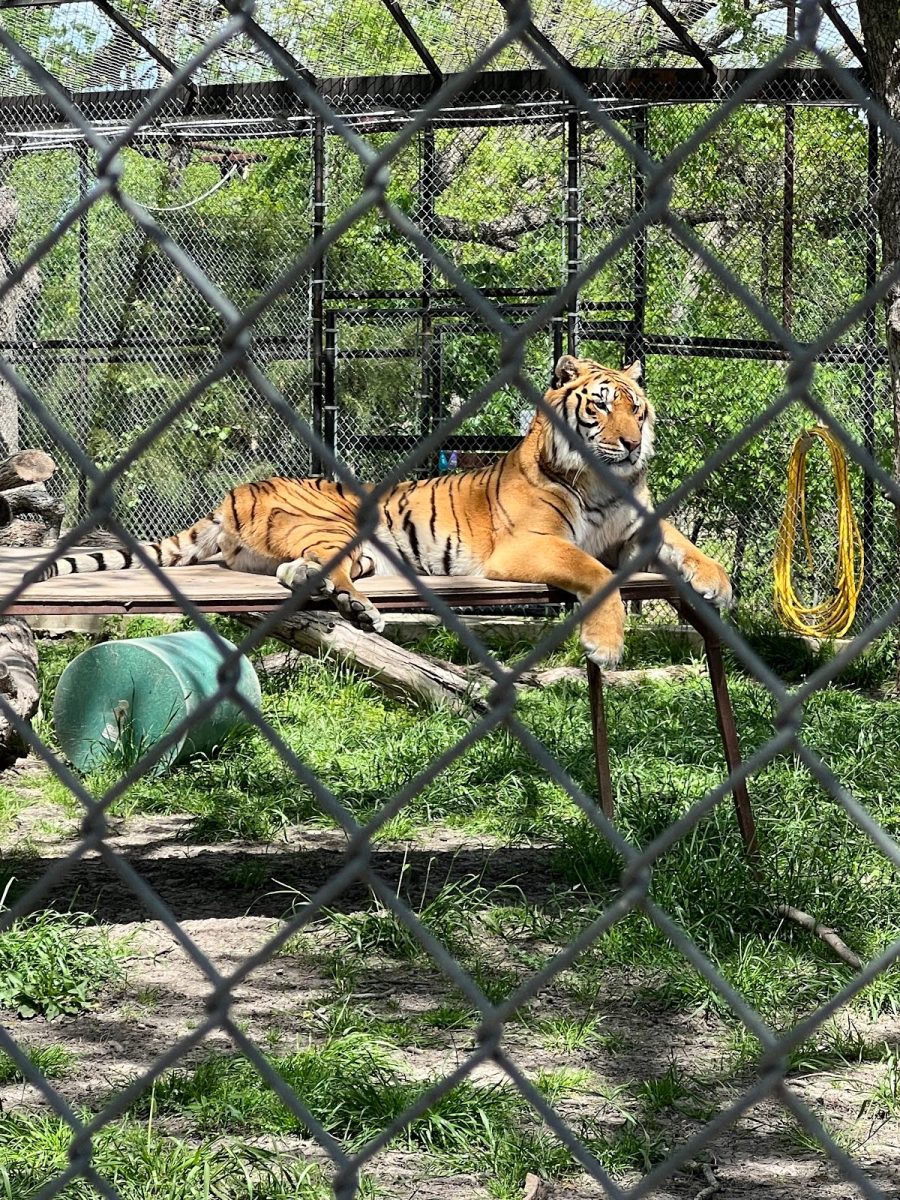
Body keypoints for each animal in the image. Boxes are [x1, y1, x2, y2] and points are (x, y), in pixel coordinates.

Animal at [38, 360, 734, 672]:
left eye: (638, 408)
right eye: (601, 406)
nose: (635, 444)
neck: (602, 483)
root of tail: (233, 493)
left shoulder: (637, 526)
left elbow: (682, 542)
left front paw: (717, 582)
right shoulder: (532, 546)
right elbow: (595, 572)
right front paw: (605, 645)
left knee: (296, 571)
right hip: (338, 525)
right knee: (326, 569)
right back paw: (360, 611)